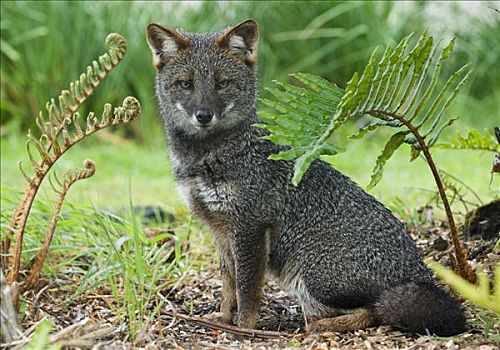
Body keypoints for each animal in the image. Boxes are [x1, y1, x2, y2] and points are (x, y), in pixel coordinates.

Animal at [146, 19, 466, 336]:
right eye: (186, 84)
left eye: (222, 83)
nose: (204, 115)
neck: (205, 157)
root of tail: (419, 272)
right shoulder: (221, 230)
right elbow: (228, 284)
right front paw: (224, 319)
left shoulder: (250, 226)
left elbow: (247, 291)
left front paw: (244, 330)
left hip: (312, 276)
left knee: (372, 312)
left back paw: (320, 326)